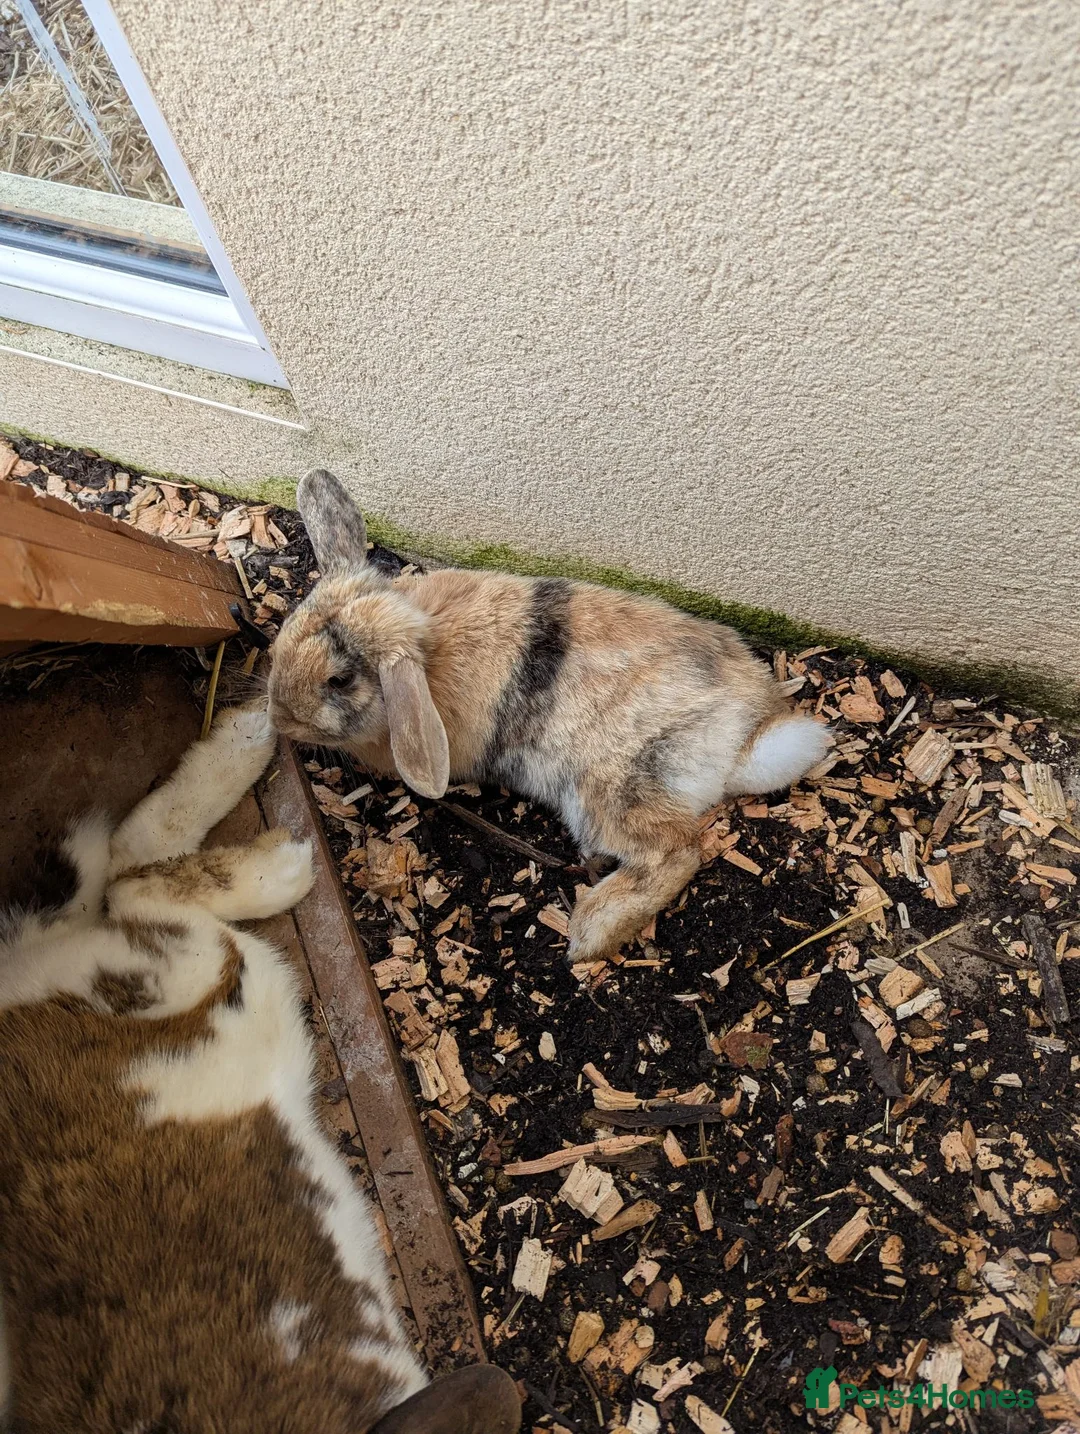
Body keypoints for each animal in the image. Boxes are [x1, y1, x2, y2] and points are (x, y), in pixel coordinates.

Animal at [268, 469, 831, 966]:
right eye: (286, 632)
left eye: (339, 680)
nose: (278, 718)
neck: (426, 658)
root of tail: (747, 737)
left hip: (610, 791)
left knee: (678, 852)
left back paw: (587, 933)